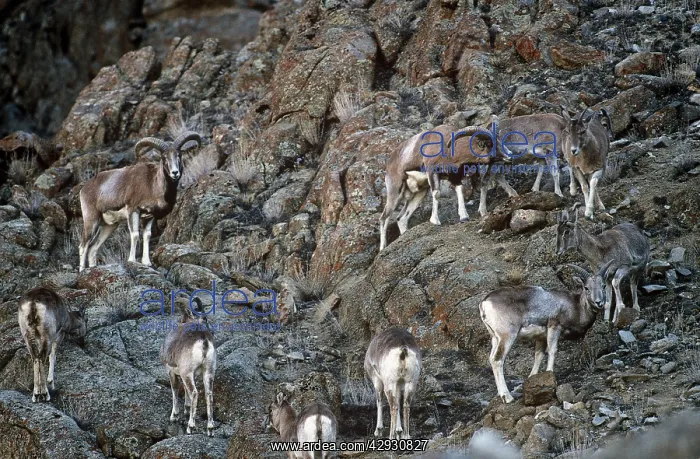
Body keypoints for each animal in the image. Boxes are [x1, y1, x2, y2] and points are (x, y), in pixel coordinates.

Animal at [78, 131, 202, 271]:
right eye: (164, 157)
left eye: (179, 155)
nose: (175, 173)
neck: (152, 185)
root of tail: (84, 189)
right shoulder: (133, 211)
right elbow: (136, 235)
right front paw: (132, 260)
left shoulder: (150, 216)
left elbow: (147, 236)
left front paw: (146, 263)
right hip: (91, 221)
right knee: (83, 246)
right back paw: (82, 270)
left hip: (109, 226)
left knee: (93, 248)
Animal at [160, 298, 216, 436]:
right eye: (205, 319)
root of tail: (203, 340)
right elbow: (185, 391)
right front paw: (186, 410)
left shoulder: (172, 372)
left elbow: (175, 389)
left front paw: (174, 416)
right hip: (208, 371)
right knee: (208, 394)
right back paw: (210, 429)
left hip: (187, 373)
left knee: (195, 393)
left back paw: (190, 427)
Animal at [479, 261, 612, 403]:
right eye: (586, 288)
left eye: (603, 286)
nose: (599, 302)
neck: (575, 307)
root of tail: (485, 303)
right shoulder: (554, 327)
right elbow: (552, 350)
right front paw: (550, 373)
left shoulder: (541, 338)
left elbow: (539, 355)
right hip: (507, 336)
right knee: (497, 360)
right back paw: (507, 397)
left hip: (495, 338)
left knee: (492, 358)